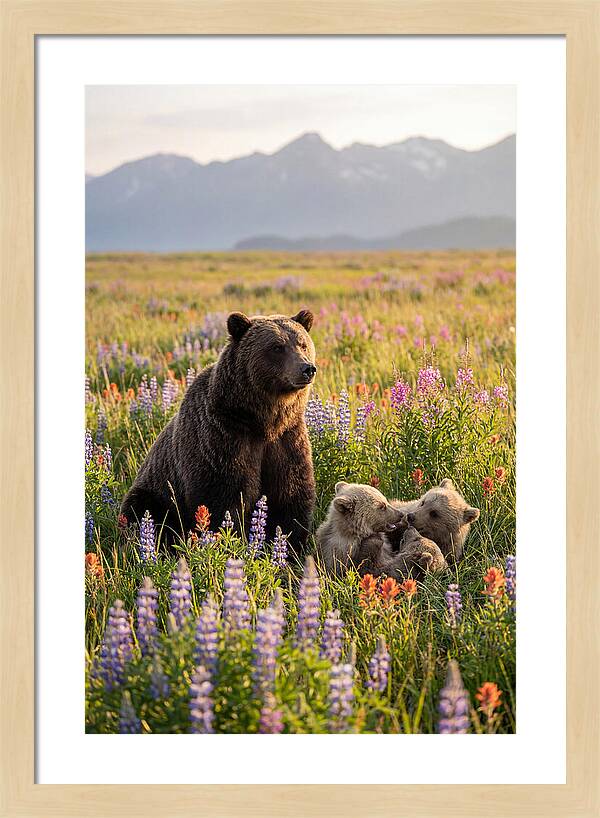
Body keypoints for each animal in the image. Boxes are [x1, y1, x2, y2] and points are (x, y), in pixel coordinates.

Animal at [120, 309, 317, 555]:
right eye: (277, 347)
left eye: (302, 344)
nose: (307, 368)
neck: (262, 421)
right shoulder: (222, 438)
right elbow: (222, 497)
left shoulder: (287, 439)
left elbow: (291, 495)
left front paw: (290, 549)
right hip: (155, 492)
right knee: (144, 512)